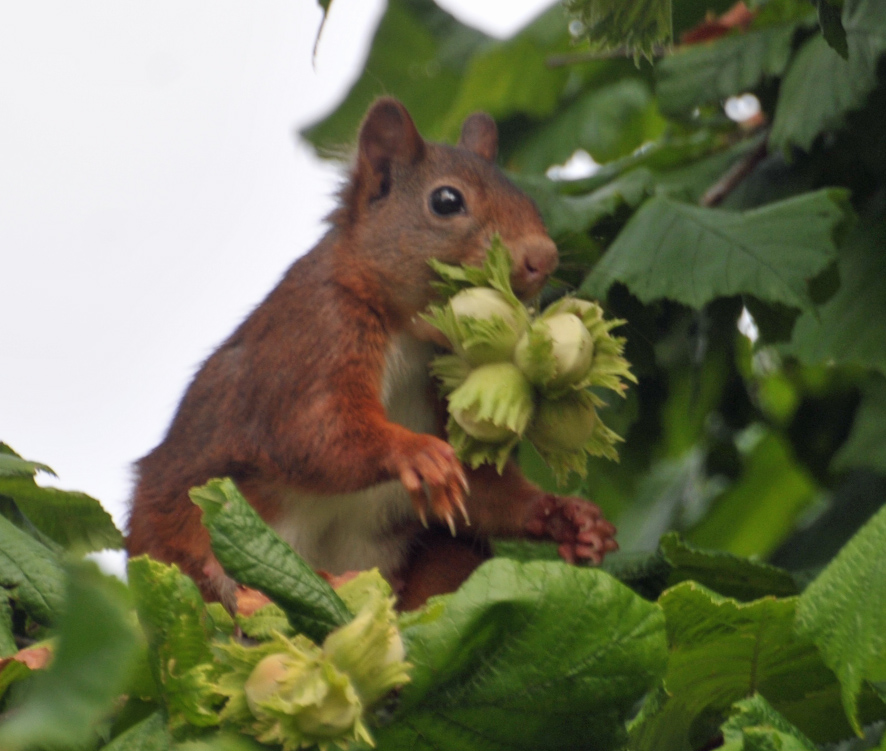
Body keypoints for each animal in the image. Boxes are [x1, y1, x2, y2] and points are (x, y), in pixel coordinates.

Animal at [126, 98, 616, 612]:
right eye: (446, 201)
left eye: (528, 198)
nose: (544, 257)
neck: (409, 333)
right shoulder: (315, 338)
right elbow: (312, 433)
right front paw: (414, 451)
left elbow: (482, 490)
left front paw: (569, 517)